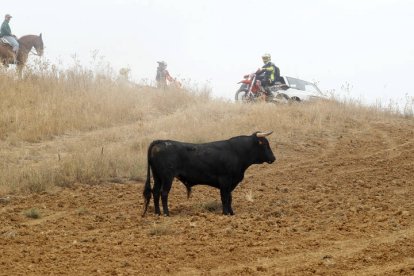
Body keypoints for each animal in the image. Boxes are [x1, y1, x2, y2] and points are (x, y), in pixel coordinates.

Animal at [142, 130, 274, 217]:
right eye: (265, 145)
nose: (273, 158)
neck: (236, 152)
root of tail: (159, 141)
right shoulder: (225, 180)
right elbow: (225, 197)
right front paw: (225, 213)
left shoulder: (231, 183)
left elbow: (229, 198)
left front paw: (231, 213)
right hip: (167, 177)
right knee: (163, 193)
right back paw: (166, 213)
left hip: (157, 177)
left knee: (155, 192)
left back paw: (157, 213)